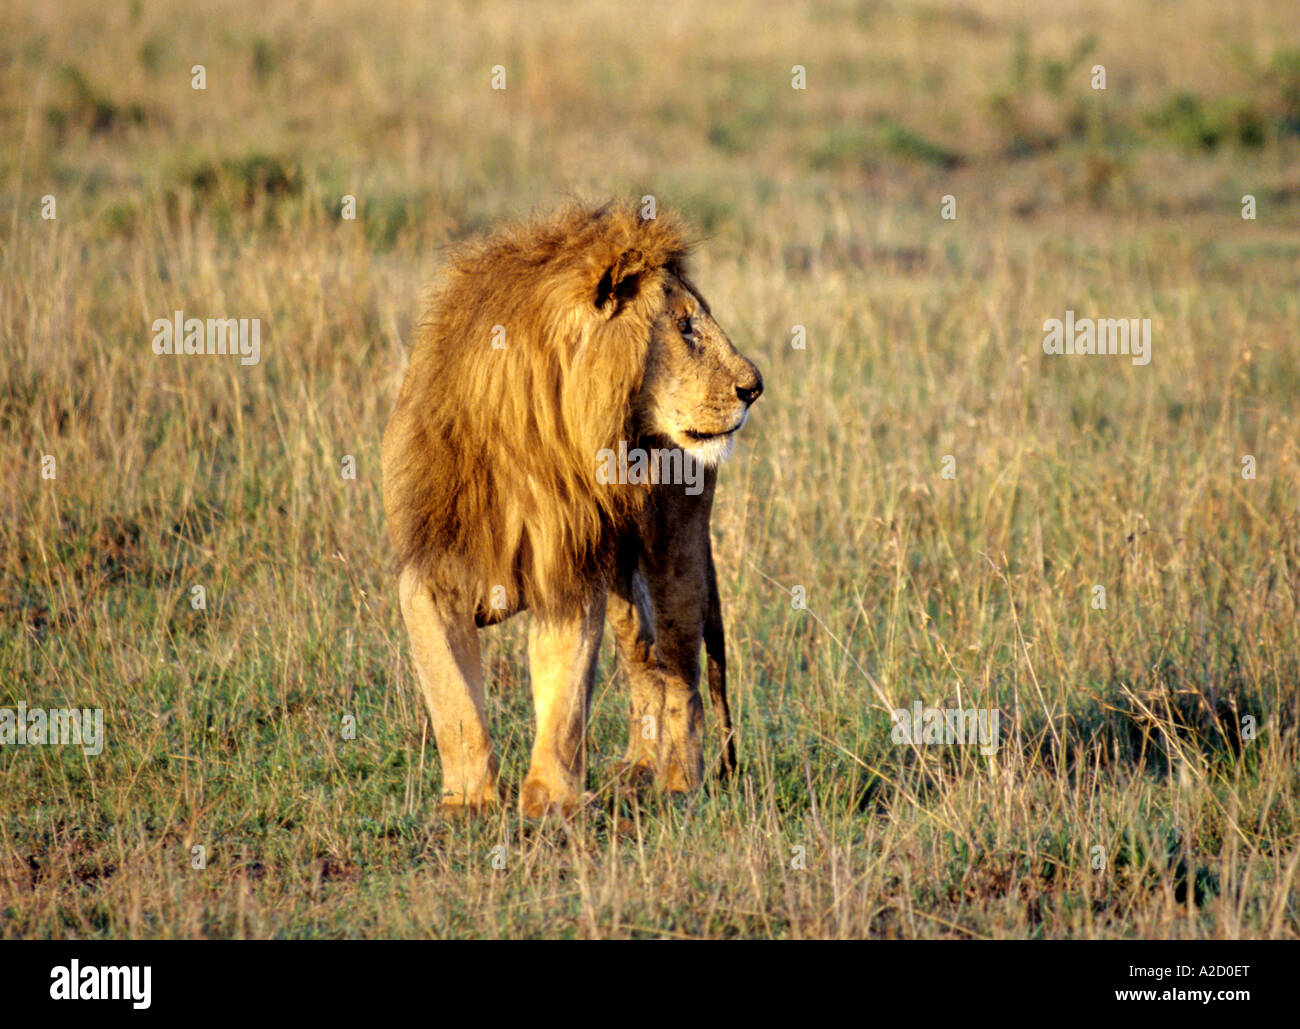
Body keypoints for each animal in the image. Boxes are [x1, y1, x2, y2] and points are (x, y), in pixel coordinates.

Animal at [381, 200, 763, 817]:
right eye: (685, 327)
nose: (755, 387)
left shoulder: (568, 568)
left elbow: (563, 696)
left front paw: (550, 803)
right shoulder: (429, 571)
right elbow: (451, 696)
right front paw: (468, 801)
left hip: (675, 549)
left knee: (682, 673)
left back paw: (679, 782)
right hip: (622, 579)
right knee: (644, 660)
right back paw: (636, 769)